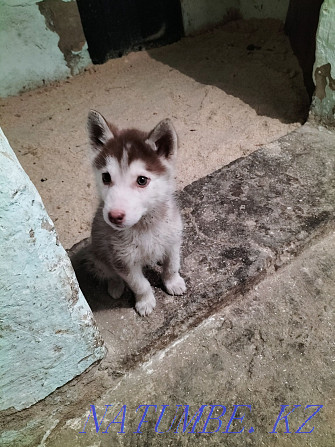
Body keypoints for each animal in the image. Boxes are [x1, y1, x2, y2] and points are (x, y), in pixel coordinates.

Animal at [86, 110, 186, 316]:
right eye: (106, 177)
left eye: (142, 180)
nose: (114, 216)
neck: (145, 225)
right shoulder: (122, 260)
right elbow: (140, 284)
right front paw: (145, 302)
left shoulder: (173, 240)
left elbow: (172, 266)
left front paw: (173, 282)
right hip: (97, 259)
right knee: (109, 274)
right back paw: (115, 286)